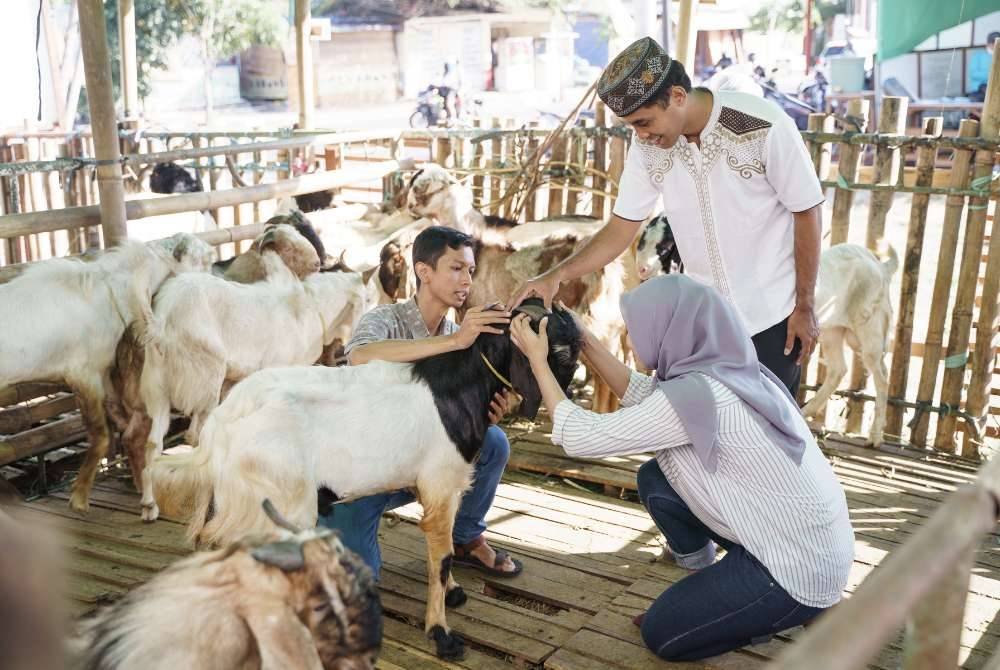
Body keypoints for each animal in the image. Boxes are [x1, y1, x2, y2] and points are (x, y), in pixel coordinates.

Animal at [0, 236, 213, 516]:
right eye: (204, 259)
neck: (112, 292)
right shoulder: (84, 373)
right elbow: (102, 436)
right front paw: (79, 499)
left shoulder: (103, 375)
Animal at [137, 255, 372, 524]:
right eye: (367, 299)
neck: (309, 309)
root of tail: (162, 321)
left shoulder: (236, 384)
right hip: (206, 378)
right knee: (195, 437)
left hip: (157, 386)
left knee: (153, 443)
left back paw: (149, 506)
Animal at [151, 304, 584, 660]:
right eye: (560, 350)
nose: (564, 402)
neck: (457, 388)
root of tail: (221, 425)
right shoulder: (441, 482)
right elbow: (442, 555)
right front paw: (441, 634)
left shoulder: (438, 486)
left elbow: (441, 549)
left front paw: (453, 592)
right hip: (281, 498)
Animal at [800, 244, 896, 448]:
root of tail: (881, 267)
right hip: (832, 331)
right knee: (839, 369)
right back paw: (805, 411)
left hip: (868, 331)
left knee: (882, 378)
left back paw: (875, 437)